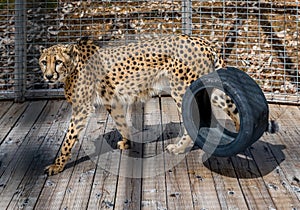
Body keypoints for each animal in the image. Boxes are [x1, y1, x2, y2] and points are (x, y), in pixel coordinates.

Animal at [39, 34, 239, 176]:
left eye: (58, 62)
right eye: (43, 62)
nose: (48, 76)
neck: (73, 65)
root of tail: (202, 40)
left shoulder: (82, 108)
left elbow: (68, 138)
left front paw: (57, 165)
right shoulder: (113, 101)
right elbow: (121, 122)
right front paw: (127, 142)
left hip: (182, 90)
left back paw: (179, 148)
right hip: (209, 90)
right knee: (231, 107)